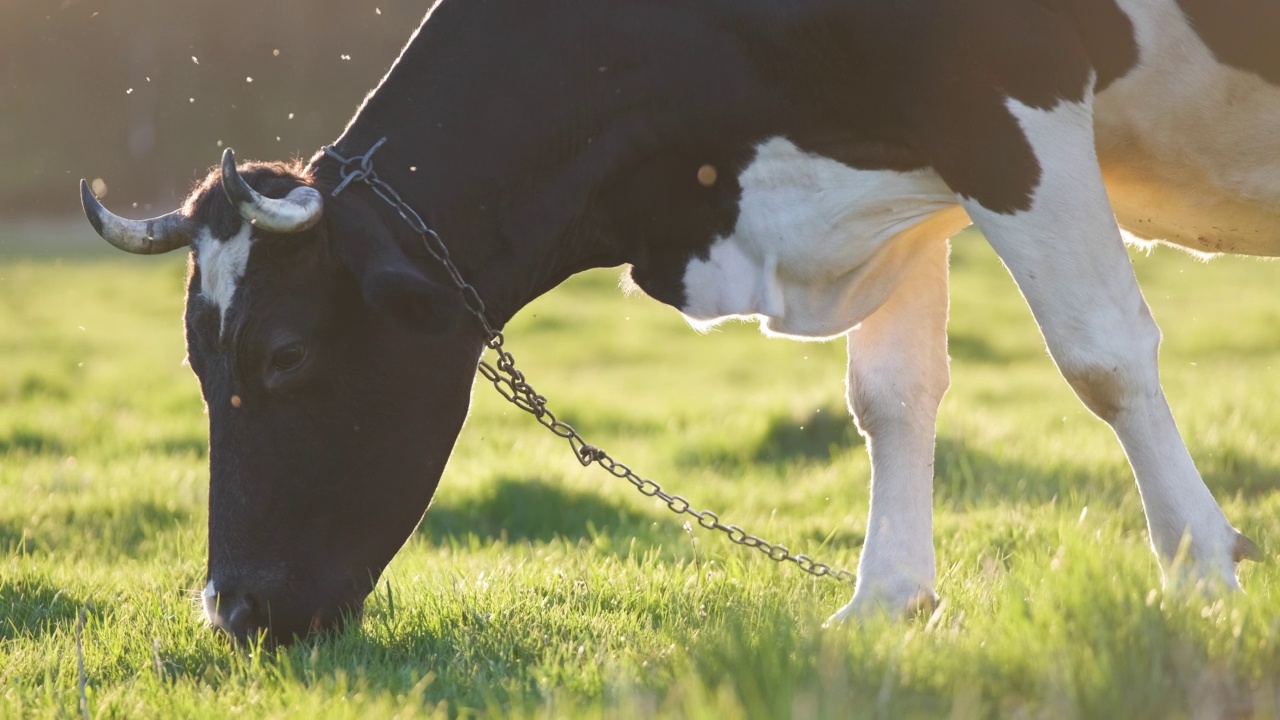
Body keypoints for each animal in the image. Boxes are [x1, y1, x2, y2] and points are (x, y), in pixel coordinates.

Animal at [82, 0, 1280, 638]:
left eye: (284, 355)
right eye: (196, 364)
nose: (231, 610)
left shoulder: (1004, 95)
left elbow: (1100, 355)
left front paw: (1201, 576)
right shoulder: (902, 146)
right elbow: (891, 395)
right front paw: (883, 605)